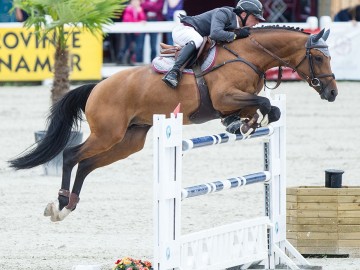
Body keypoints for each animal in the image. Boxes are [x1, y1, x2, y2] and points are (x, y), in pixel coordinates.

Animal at [9, 26, 338, 223]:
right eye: (319, 57)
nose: (333, 93)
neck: (248, 56)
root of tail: (98, 87)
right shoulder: (225, 96)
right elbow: (266, 104)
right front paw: (246, 124)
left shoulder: (236, 100)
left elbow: (265, 108)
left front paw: (243, 124)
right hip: (108, 133)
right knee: (71, 155)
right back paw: (60, 203)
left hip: (128, 141)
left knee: (87, 164)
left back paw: (70, 205)